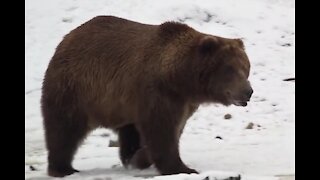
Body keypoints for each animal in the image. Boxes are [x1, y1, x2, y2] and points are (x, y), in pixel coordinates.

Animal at [42, 15, 252, 177]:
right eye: (230, 69)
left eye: (246, 67)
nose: (248, 91)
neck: (180, 79)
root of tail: (68, 37)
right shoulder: (158, 93)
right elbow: (161, 131)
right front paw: (184, 168)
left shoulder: (183, 103)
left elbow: (170, 131)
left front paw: (139, 158)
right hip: (76, 87)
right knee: (64, 128)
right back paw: (63, 168)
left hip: (119, 103)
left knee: (128, 131)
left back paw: (128, 156)